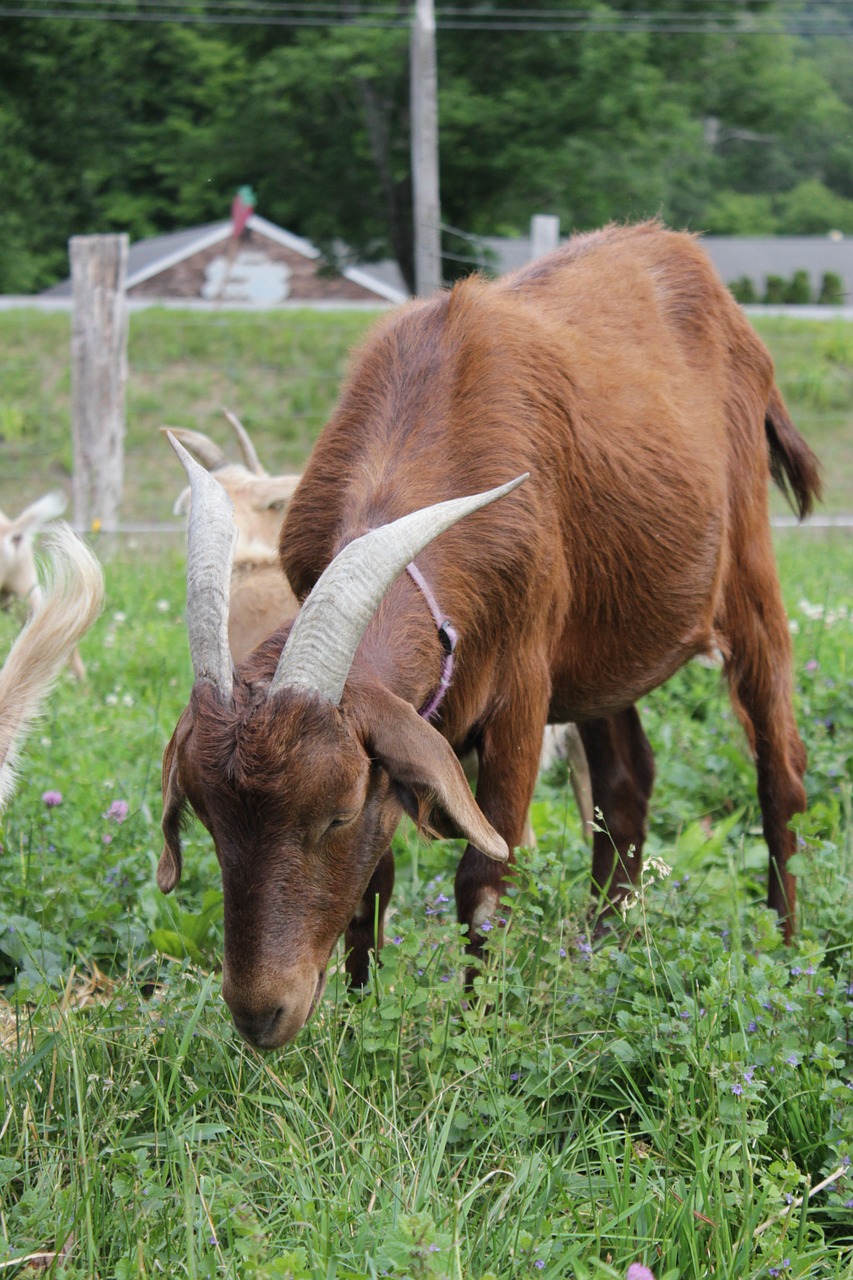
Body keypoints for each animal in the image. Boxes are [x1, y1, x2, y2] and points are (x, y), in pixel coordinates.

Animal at [159, 225, 819, 1049]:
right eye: (207, 817)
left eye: (334, 812)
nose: (260, 1014)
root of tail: (686, 254)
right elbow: (374, 883)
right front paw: (360, 1023)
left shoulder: (522, 690)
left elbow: (481, 876)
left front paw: (474, 1033)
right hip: (602, 654)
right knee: (626, 782)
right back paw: (601, 947)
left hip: (748, 575)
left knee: (778, 771)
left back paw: (785, 952)